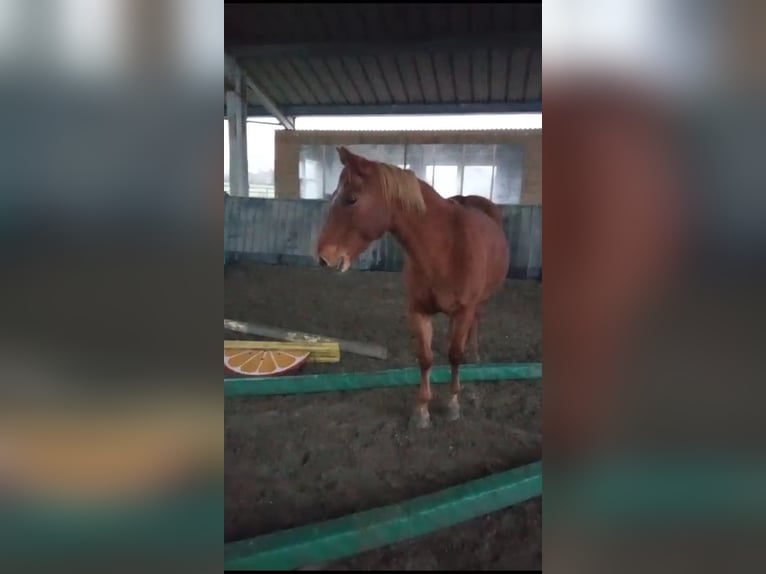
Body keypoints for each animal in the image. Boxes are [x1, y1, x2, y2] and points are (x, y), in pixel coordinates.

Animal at [316, 146, 510, 430]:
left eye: (351, 199)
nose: (323, 257)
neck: (444, 248)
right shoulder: (418, 311)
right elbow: (425, 358)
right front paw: (422, 410)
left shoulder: (464, 310)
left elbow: (455, 355)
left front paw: (453, 404)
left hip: (479, 303)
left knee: (474, 326)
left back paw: (473, 357)